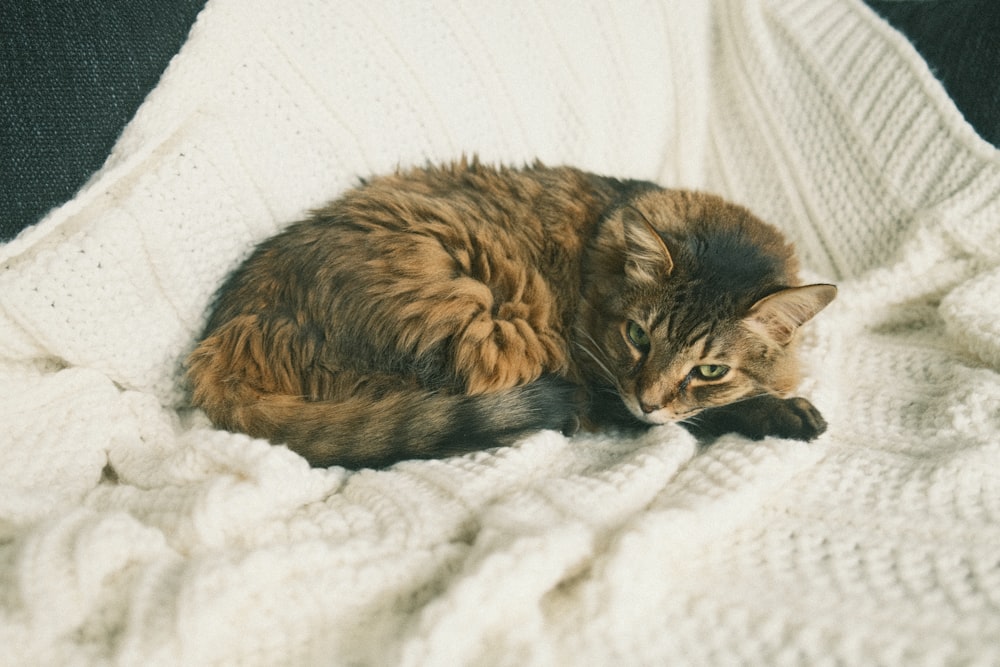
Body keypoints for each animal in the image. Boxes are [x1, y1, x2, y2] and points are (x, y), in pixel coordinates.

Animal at [188, 159, 836, 468]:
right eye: (637, 337)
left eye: (710, 370)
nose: (649, 400)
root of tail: (226, 334)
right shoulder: (601, 382)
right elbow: (710, 415)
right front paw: (783, 412)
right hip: (481, 326)